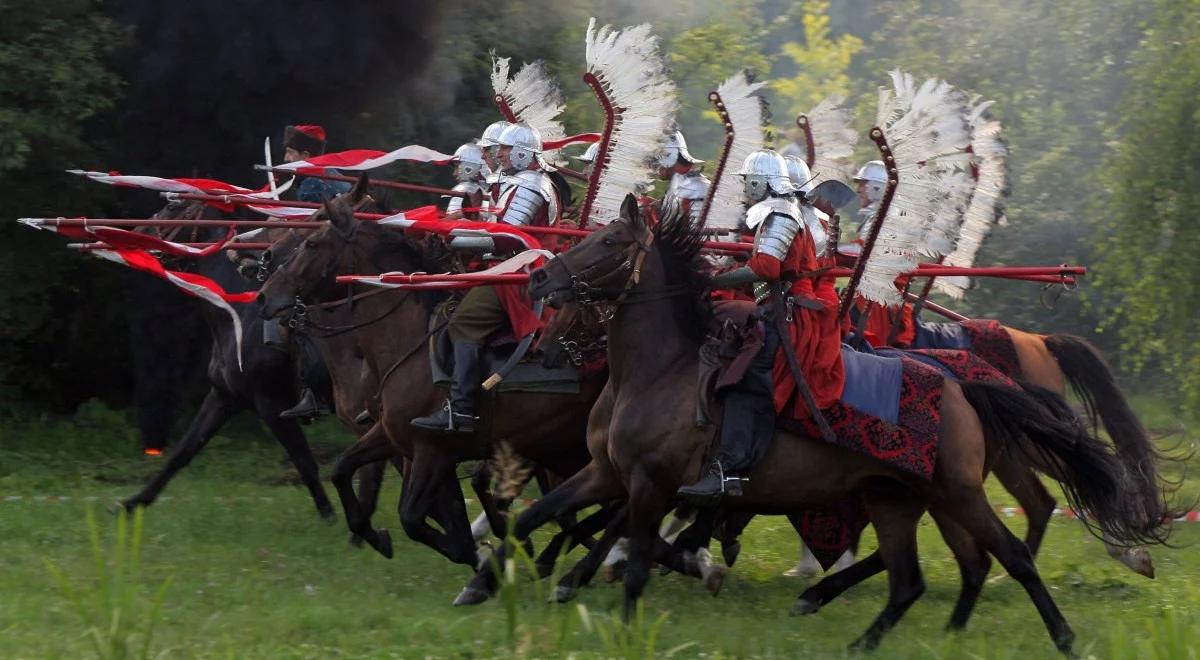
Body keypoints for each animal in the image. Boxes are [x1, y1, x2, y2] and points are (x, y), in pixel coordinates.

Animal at [458, 194, 1161, 652]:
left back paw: (1061, 634)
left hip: (956, 490)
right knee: (914, 578)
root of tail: (962, 383)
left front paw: (624, 614)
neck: (659, 370)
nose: (540, 281)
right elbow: (534, 515)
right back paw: (866, 637)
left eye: (608, 243)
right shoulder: (607, 474)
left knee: (1010, 548)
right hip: (900, 498)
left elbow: (627, 553)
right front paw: (483, 585)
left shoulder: (651, 484)